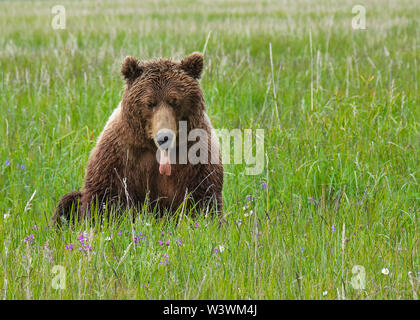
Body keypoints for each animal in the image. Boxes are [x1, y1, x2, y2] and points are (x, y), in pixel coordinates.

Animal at [51, 53, 223, 225]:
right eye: (150, 103)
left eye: (174, 101)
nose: (164, 137)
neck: (155, 150)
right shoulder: (119, 155)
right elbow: (104, 197)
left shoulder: (196, 156)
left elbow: (203, 198)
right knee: (69, 200)